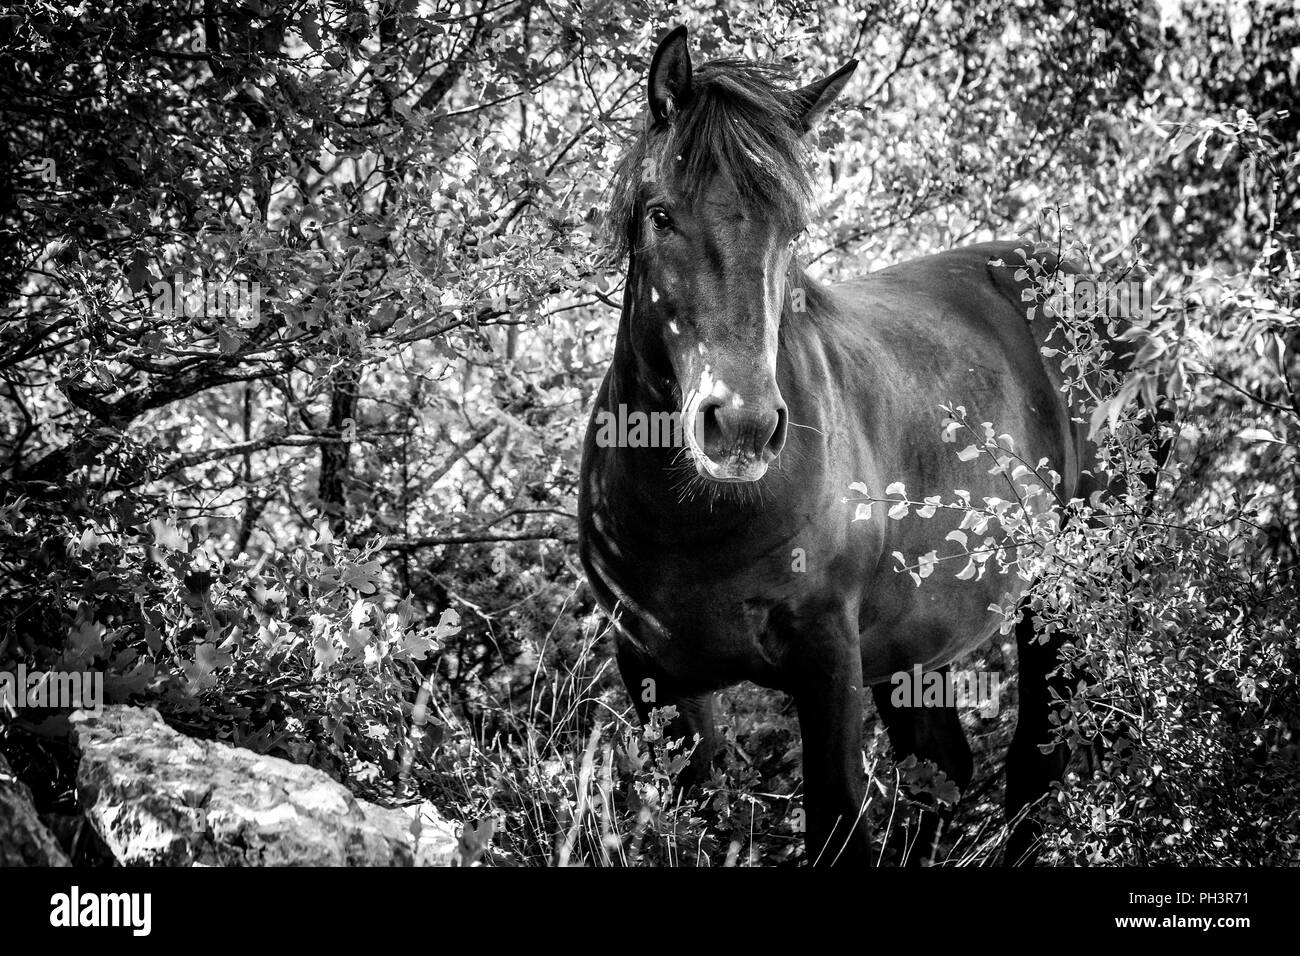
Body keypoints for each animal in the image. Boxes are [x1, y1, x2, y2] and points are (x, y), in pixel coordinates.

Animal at [578, 25, 1105, 865]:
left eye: (790, 234)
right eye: (661, 216)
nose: (742, 427)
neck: (694, 519)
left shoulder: (828, 659)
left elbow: (836, 819)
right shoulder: (653, 669)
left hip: (1061, 599)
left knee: (1034, 764)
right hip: (916, 644)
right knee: (943, 770)